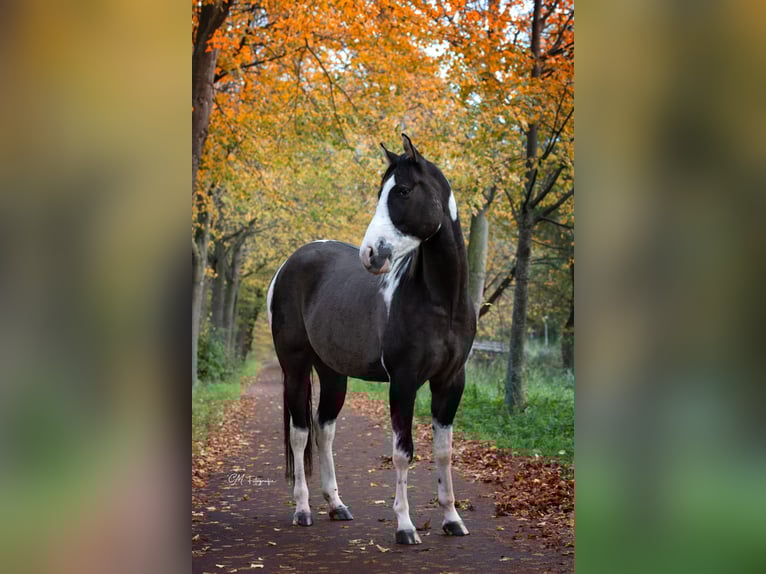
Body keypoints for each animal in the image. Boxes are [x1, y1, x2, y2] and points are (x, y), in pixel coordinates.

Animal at [267, 134, 476, 545]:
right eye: (382, 192)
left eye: (404, 191)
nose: (370, 254)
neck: (441, 300)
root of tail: (289, 263)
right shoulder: (404, 381)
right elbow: (403, 452)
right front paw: (406, 527)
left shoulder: (451, 381)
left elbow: (443, 452)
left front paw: (452, 519)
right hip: (295, 368)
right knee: (300, 434)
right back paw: (302, 510)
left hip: (333, 374)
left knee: (324, 430)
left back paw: (336, 505)